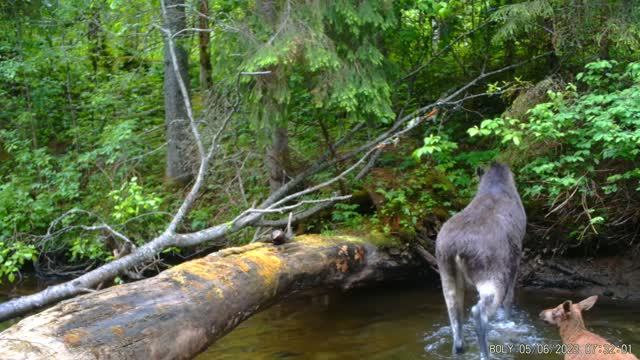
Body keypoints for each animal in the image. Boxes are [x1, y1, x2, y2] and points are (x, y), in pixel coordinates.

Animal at [436, 162, 524, 358]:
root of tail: (456, 249)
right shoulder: (516, 257)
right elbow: (509, 298)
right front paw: (508, 322)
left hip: (446, 272)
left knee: (454, 312)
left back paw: (459, 348)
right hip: (492, 272)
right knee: (479, 311)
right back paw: (485, 353)